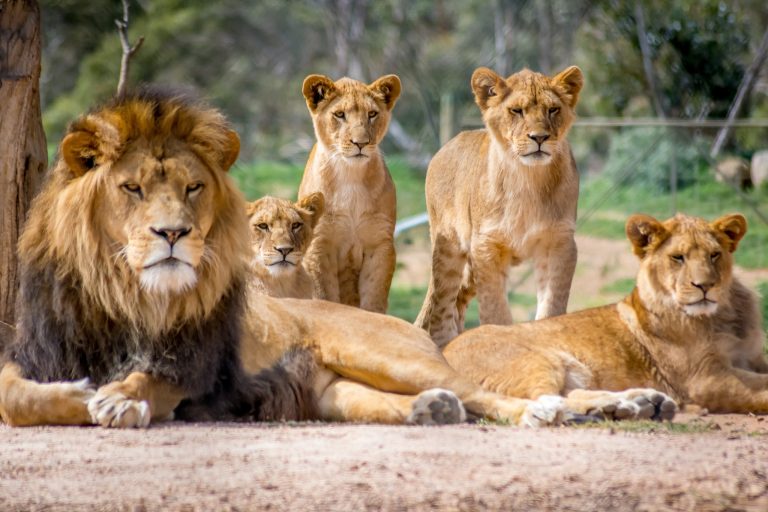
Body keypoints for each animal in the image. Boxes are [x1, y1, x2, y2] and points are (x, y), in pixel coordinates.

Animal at [297, 74, 400, 314]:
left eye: (372, 114)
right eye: (339, 114)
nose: (360, 143)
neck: (350, 175)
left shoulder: (379, 243)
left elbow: (374, 298)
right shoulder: (319, 245)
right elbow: (324, 297)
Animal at [416, 66, 583, 347]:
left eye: (553, 110)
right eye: (516, 111)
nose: (540, 137)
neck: (528, 179)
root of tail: (445, 146)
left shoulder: (559, 243)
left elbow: (552, 305)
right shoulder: (486, 246)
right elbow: (495, 310)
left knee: (458, 300)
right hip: (449, 247)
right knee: (442, 304)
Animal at [444, 213, 768, 415]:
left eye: (714, 255)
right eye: (678, 258)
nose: (705, 286)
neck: (722, 316)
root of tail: (444, 351)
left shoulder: (752, 358)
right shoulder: (705, 378)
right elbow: (761, 390)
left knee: (568, 394)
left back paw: (638, 403)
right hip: (537, 360)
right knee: (549, 399)